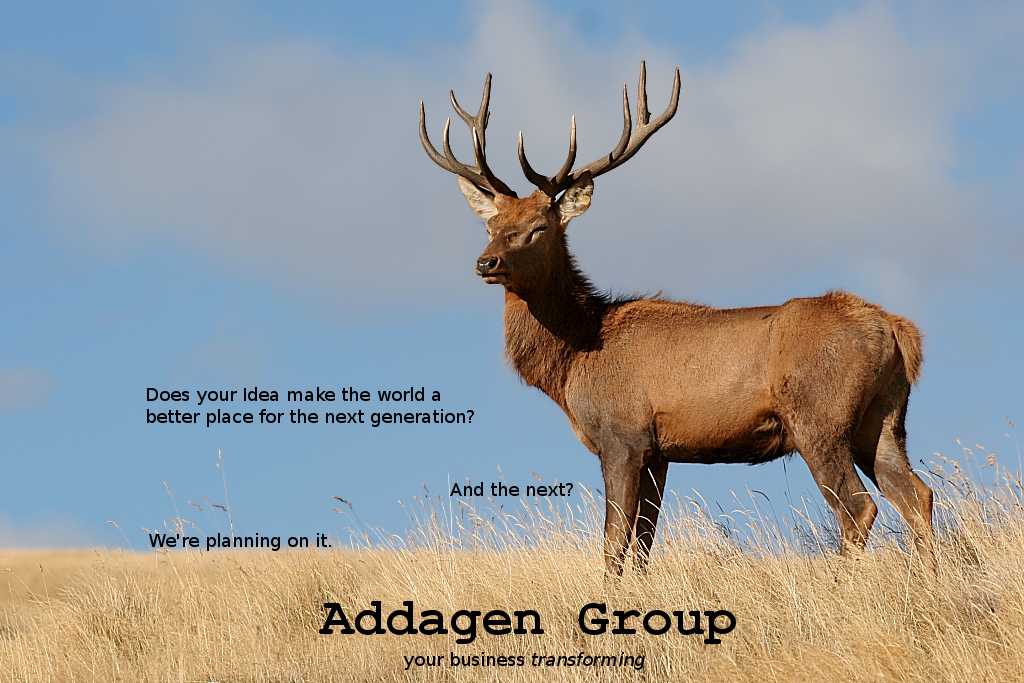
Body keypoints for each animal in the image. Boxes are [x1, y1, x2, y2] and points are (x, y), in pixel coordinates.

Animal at [418, 62, 935, 576]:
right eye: (491, 225)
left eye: (539, 227)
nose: (485, 262)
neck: (574, 359)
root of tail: (897, 330)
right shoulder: (659, 453)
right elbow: (643, 544)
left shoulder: (623, 435)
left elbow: (613, 544)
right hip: (883, 416)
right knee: (917, 494)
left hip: (819, 416)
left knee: (859, 506)